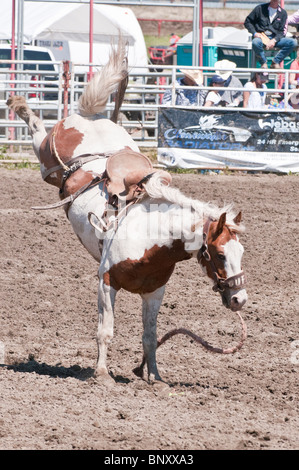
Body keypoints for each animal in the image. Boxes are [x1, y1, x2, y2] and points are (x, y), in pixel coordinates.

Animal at [7, 40, 248, 384]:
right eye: (219, 254)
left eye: (241, 254)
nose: (240, 299)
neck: (152, 240)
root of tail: (91, 119)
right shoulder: (106, 281)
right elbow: (105, 331)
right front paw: (102, 374)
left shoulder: (155, 292)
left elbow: (150, 336)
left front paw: (154, 378)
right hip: (46, 161)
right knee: (38, 130)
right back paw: (19, 104)